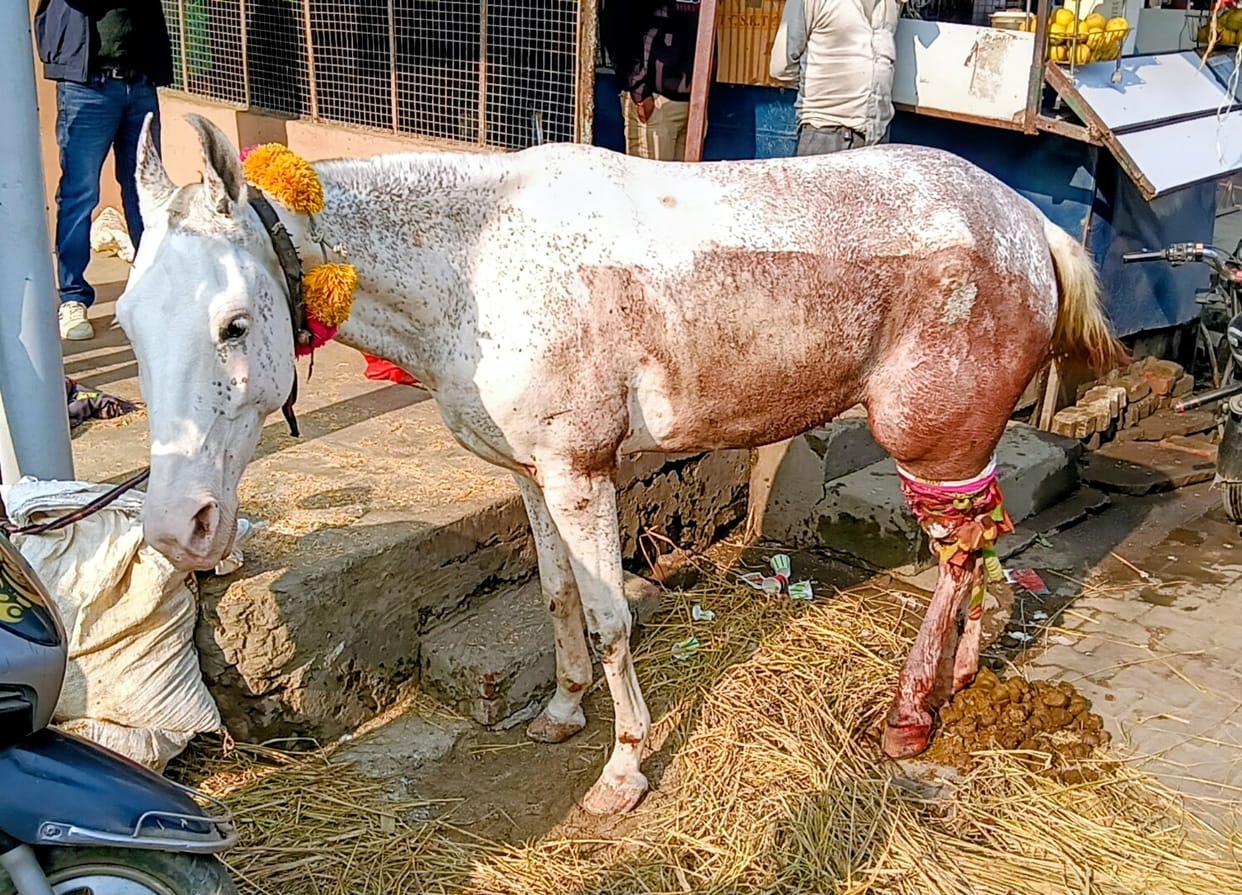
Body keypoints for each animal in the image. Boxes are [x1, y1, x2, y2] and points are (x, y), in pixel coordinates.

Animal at [117, 113, 1125, 816]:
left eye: (234, 323)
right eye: (127, 321)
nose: (178, 526)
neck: (476, 269)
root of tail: (1028, 222)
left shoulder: (581, 470)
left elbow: (610, 619)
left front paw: (623, 768)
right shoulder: (531, 475)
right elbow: (558, 596)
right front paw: (563, 713)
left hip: (932, 441)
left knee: (956, 557)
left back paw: (912, 716)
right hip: (961, 449)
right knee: (980, 548)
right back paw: (962, 679)